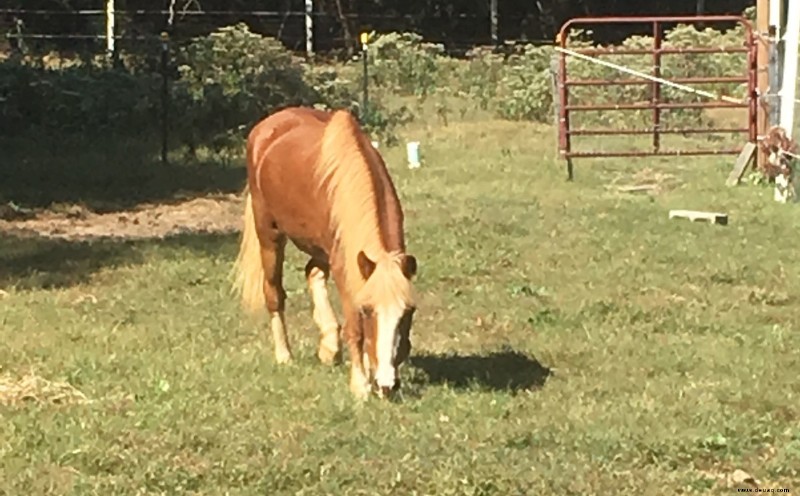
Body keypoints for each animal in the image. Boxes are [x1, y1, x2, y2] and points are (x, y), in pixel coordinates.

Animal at [231, 105, 418, 400]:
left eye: (408, 311)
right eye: (368, 310)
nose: (388, 385)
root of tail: (266, 127)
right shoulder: (344, 267)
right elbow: (355, 327)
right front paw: (360, 385)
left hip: (320, 247)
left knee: (312, 272)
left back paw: (329, 346)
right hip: (269, 234)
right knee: (274, 293)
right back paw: (284, 355)